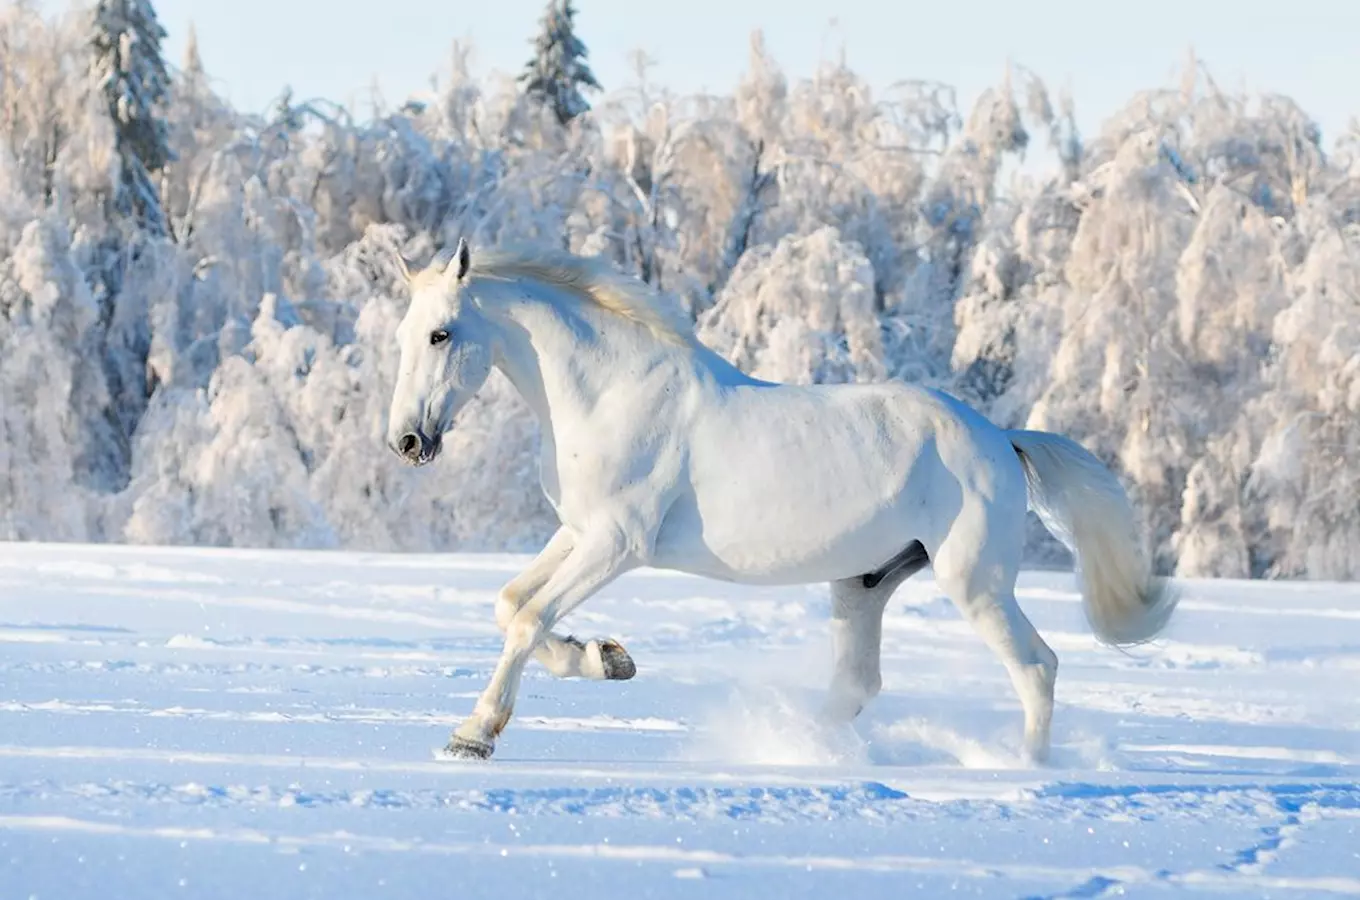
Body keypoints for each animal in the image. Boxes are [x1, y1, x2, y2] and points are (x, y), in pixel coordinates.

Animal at [386, 239, 1180, 766]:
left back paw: (1026, 773)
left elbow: (527, 620)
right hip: (864, 585)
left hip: (975, 582)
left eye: (441, 333)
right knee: (858, 684)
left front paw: (474, 734)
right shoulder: (577, 533)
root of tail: (1002, 440)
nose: (406, 441)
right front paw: (607, 658)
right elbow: (510, 605)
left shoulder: (618, 542)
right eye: (403, 335)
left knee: (1036, 667)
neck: (611, 393)